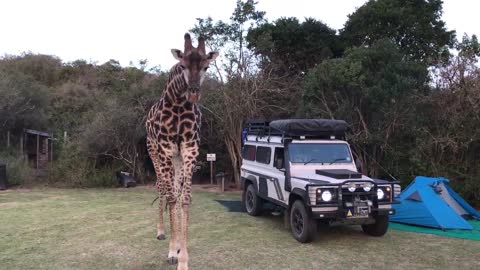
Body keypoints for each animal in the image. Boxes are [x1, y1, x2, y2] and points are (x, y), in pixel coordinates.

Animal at [145, 33, 218, 270]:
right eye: (183, 65)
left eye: (206, 67)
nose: (193, 93)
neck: (177, 102)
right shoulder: (166, 148)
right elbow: (171, 197)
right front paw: (171, 252)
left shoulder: (189, 148)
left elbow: (184, 198)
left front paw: (182, 258)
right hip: (154, 151)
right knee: (161, 187)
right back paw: (161, 232)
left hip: (176, 158)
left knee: (175, 190)